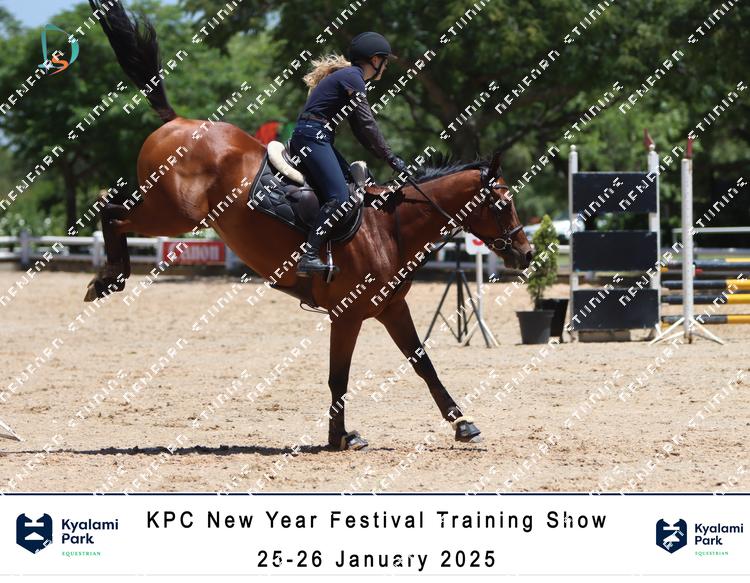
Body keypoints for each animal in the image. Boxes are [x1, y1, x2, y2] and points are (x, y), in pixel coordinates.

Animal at [86, 0, 532, 450]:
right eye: (504, 204)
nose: (527, 254)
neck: (390, 228)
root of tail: (177, 122)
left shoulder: (392, 308)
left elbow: (422, 363)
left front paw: (462, 423)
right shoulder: (347, 315)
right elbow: (340, 379)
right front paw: (341, 437)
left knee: (114, 212)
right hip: (175, 212)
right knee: (112, 212)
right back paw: (108, 277)